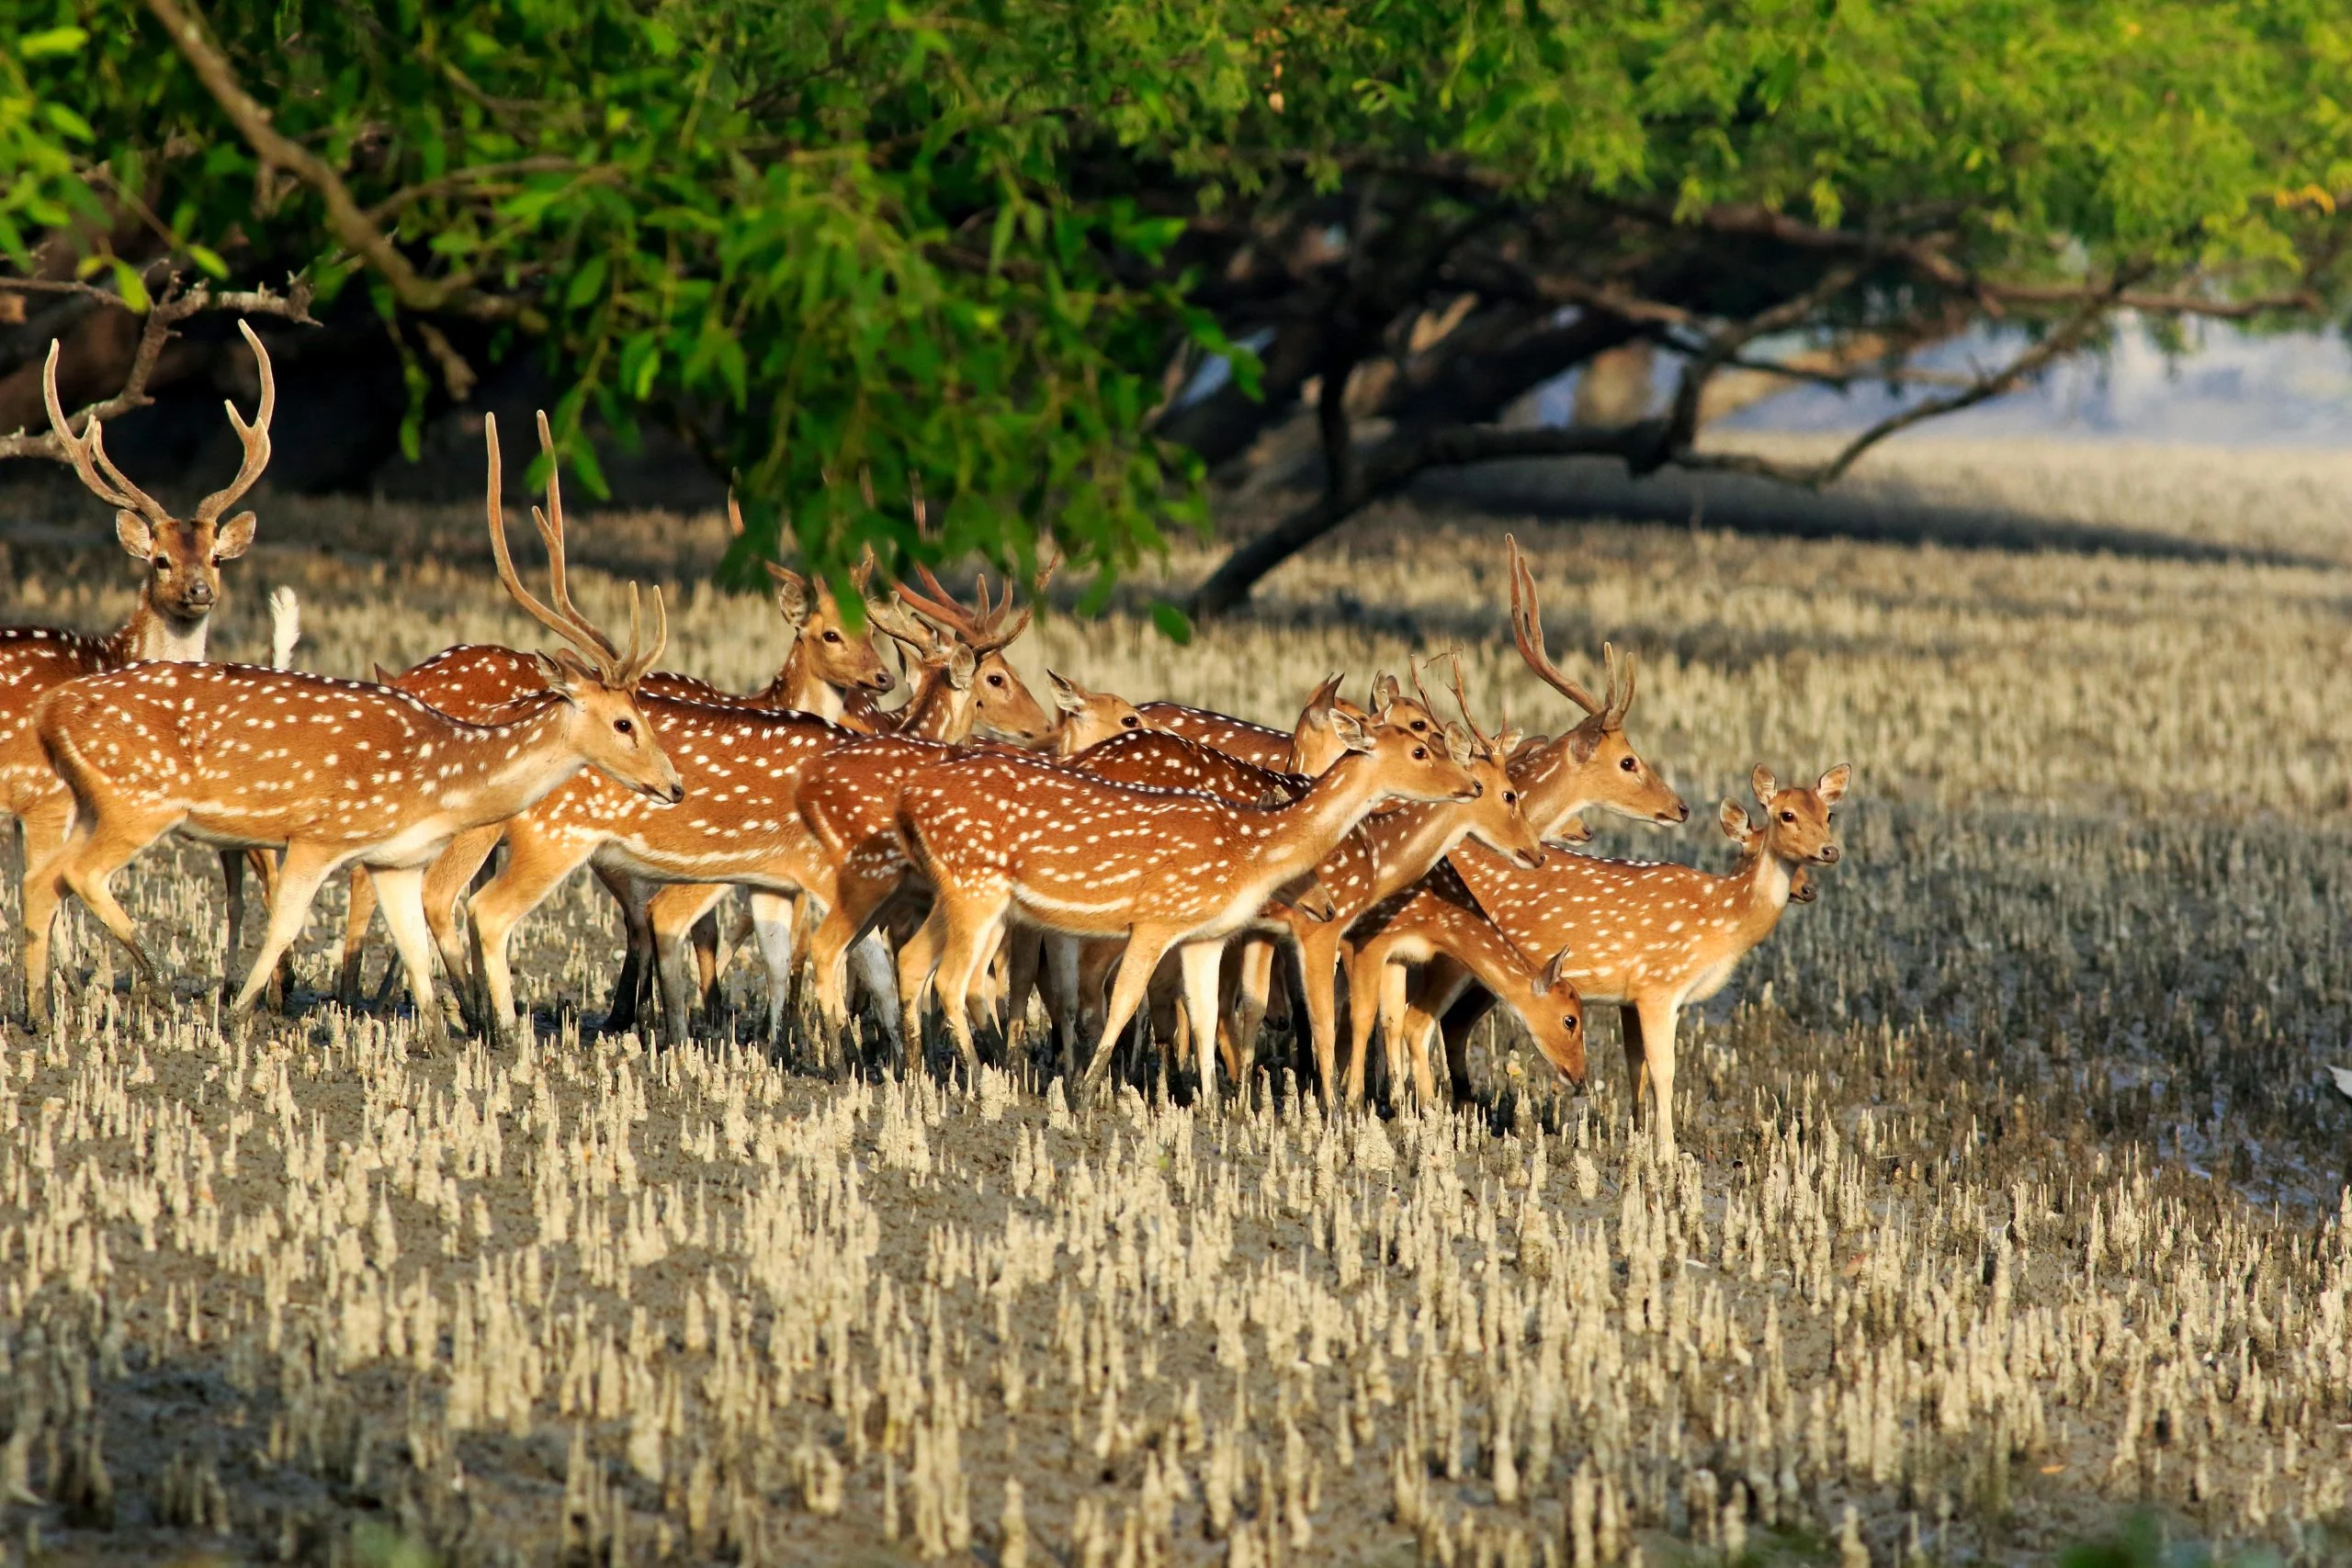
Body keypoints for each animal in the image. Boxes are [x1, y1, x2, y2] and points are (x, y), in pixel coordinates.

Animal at [0, 325, 278, 1000]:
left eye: (216, 556)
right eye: (159, 559)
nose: (200, 590)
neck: (112, 657)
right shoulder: (42, 793)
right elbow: (42, 891)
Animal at [20, 414, 682, 1043]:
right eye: (625, 721)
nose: (674, 785)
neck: (441, 778)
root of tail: (51, 709)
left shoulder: (396, 859)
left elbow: (413, 947)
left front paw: (438, 1036)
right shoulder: (319, 833)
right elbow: (286, 922)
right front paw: (238, 1014)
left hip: (92, 802)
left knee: (40, 879)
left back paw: (41, 1014)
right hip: (138, 800)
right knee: (77, 874)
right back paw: (153, 984)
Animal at [893, 700, 1483, 1097]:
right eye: (1419, 748)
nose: (1472, 784)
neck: (1248, 849)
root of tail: (909, 801)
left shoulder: (1204, 935)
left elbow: (1202, 1012)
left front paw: (1214, 1105)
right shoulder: (1156, 917)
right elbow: (1128, 999)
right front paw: (1086, 1094)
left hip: (953, 890)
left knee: (913, 959)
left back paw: (918, 1072)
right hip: (977, 886)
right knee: (952, 979)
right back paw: (981, 1079)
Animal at [1401, 764, 1851, 1158]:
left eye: (1829, 814)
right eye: (1786, 815)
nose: (1829, 852)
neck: (1720, 919)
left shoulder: (1632, 996)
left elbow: (1636, 1067)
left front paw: (1636, 1139)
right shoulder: (1659, 984)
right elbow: (1664, 1070)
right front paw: (1668, 1153)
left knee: (1447, 1023)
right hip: (1454, 955)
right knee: (1419, 1022)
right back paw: (1428, 1115)